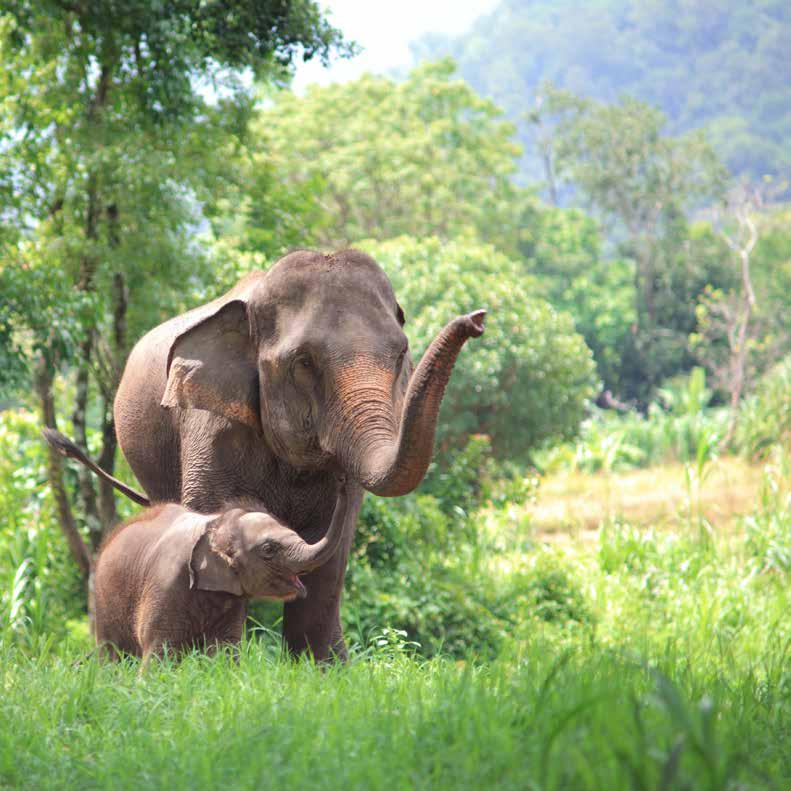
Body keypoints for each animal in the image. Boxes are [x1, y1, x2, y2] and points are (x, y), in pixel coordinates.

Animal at [94, 480, 348, 664]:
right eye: (268, 549)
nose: (342, 483)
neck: (217, 522)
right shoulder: (165, 585)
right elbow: (160, 650)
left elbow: (224, 650)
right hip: (104, 603)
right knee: (112, 653)